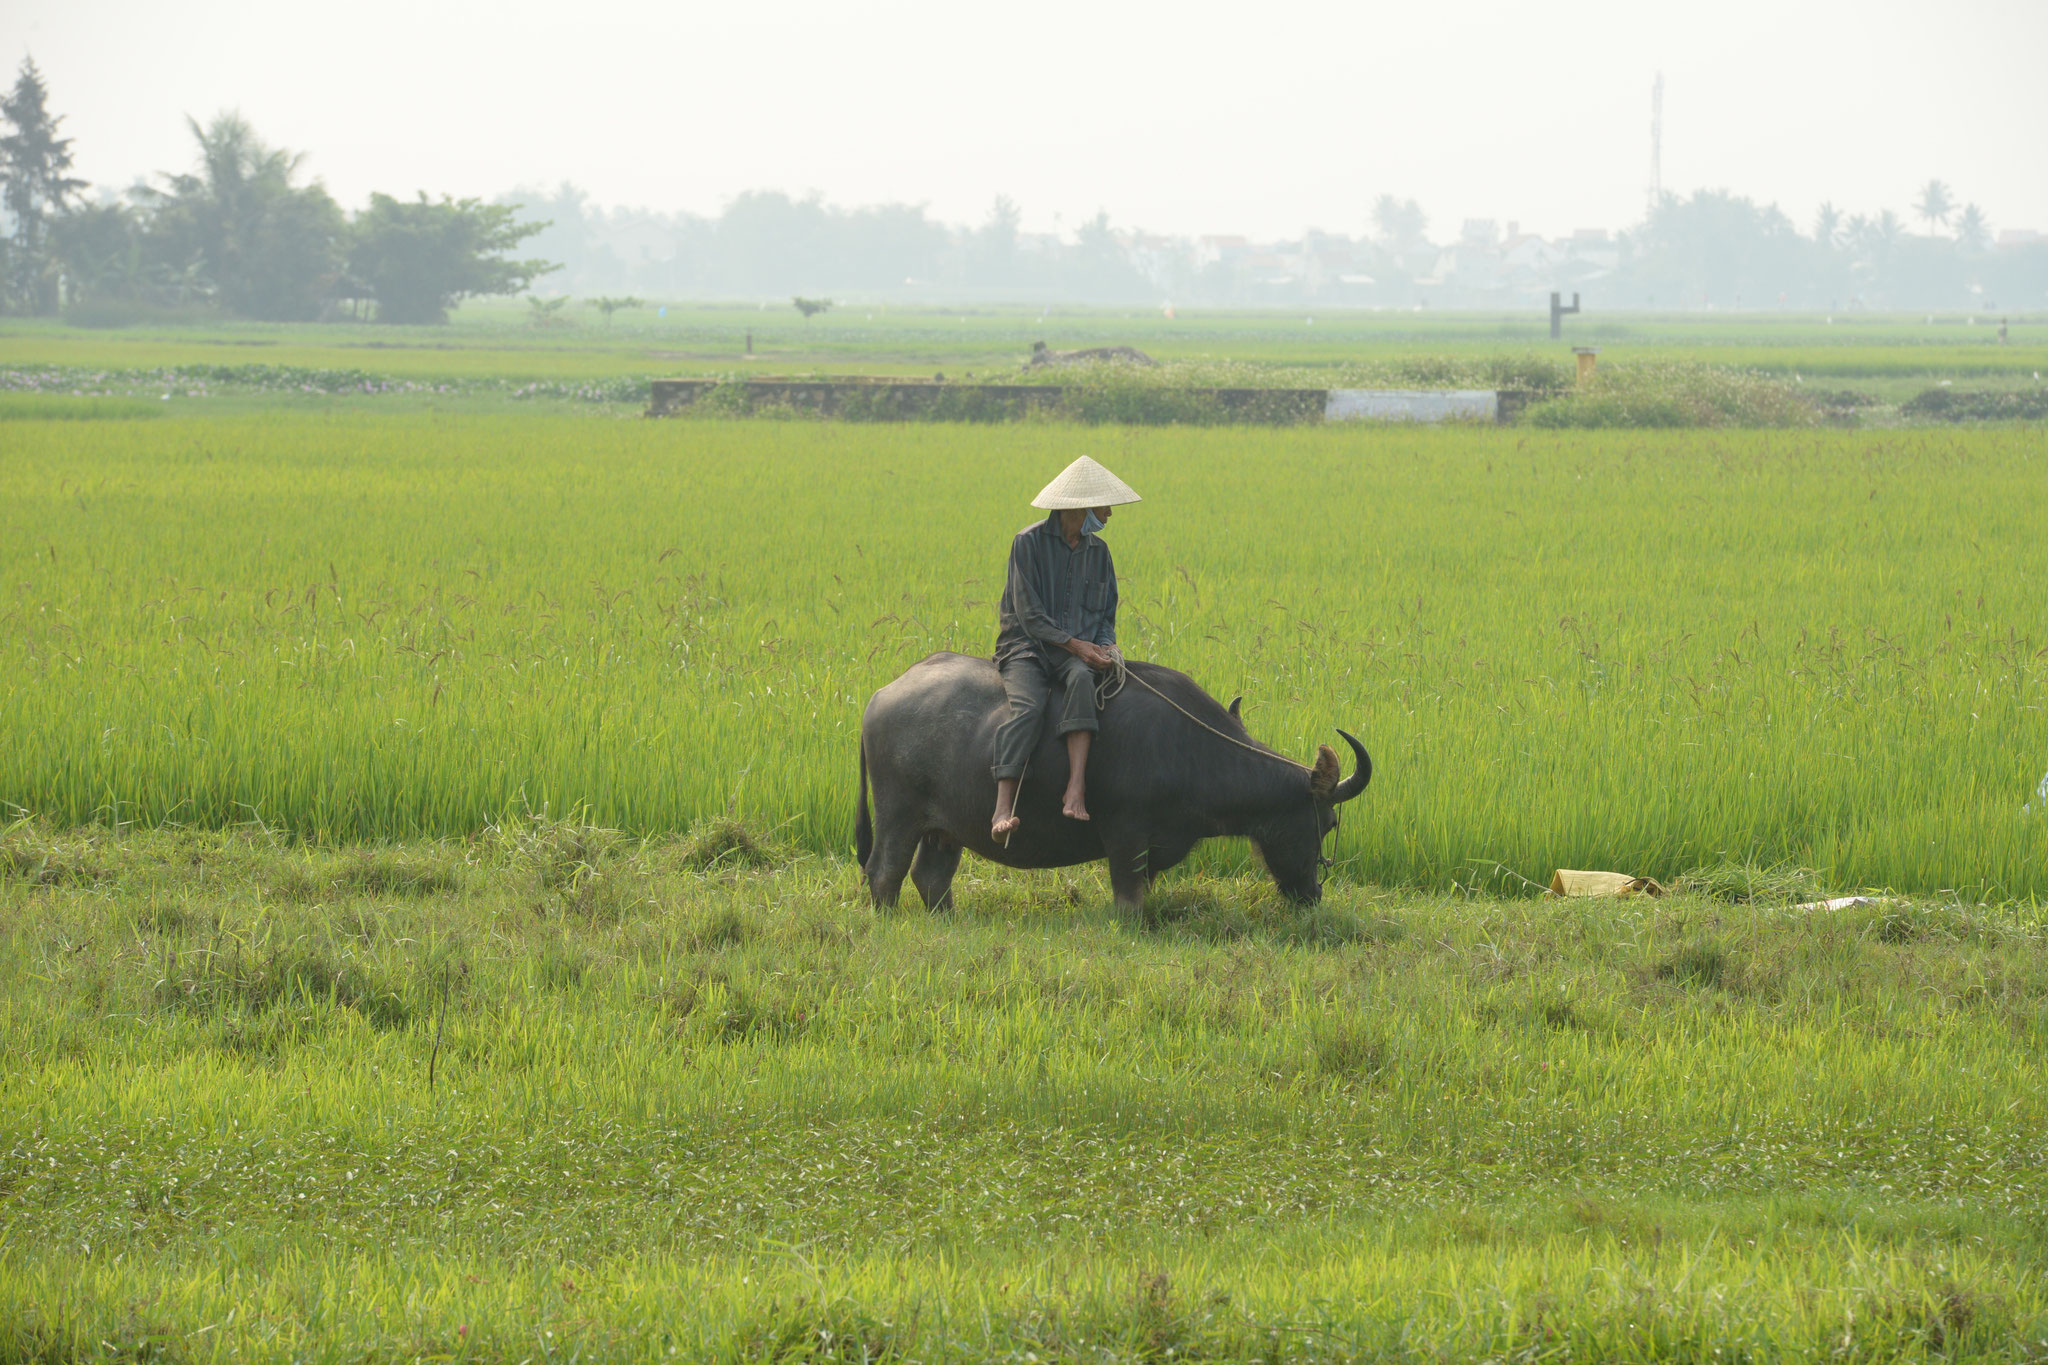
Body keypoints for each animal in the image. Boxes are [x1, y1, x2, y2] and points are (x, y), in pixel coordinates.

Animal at [856, 654, 1368, 912]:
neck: (1189, 749)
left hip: (944, 828)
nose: (1313, 894)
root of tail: (883, 694)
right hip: (898, 815)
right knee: (884, 872)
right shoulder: (1126, 834)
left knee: (930, 876)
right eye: (1328, 822)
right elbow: (1129, 896)